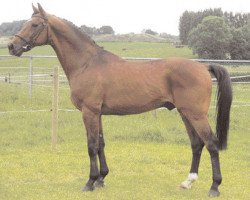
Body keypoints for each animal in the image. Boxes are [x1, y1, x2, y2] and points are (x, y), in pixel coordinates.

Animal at [8, 3, 233, 197]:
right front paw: (101, 179)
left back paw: (214, 187)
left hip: (196, 114)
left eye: (34, 25)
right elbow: (100, 144)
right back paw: (188, 181)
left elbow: (91, 146)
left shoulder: (89, 112)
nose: (11, 46)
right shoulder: (97, 113)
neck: (87, 63)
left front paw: (90, 182)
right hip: (185, 113)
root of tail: (203, 66)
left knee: (211, 144)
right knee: (197, 144)